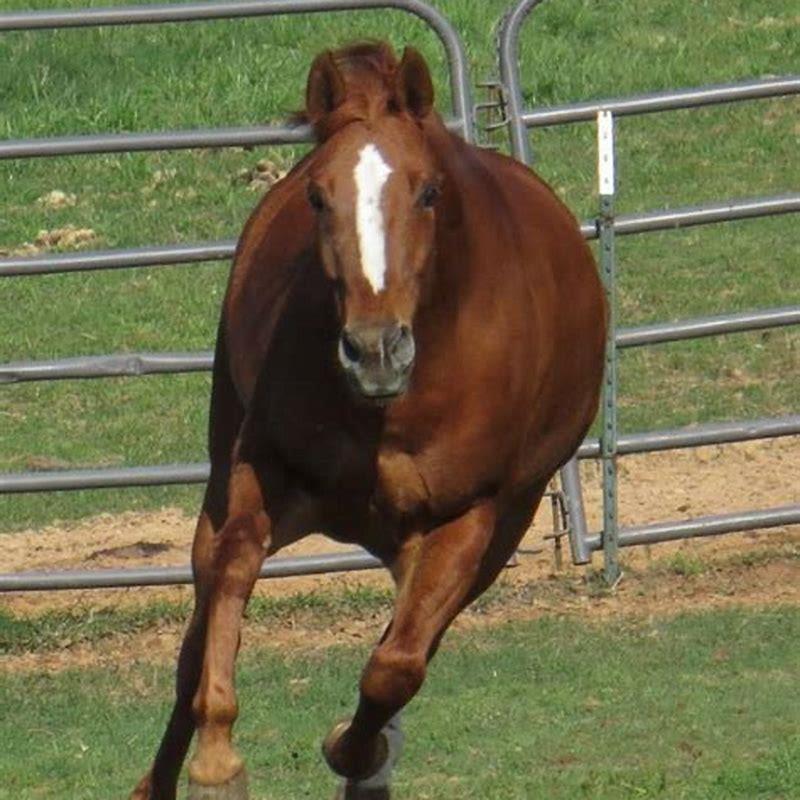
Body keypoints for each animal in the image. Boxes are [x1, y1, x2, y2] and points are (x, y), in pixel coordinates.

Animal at [131, 41, 605, 800]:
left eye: (429, 192)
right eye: (318, 196)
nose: (375, 349)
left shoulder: (469, 517)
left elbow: (396, 666)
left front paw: (353, 751)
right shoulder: (261, 470)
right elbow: (231, 575)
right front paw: (218, 760)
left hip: (488, 530)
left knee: (409, 646)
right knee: (195, 639)